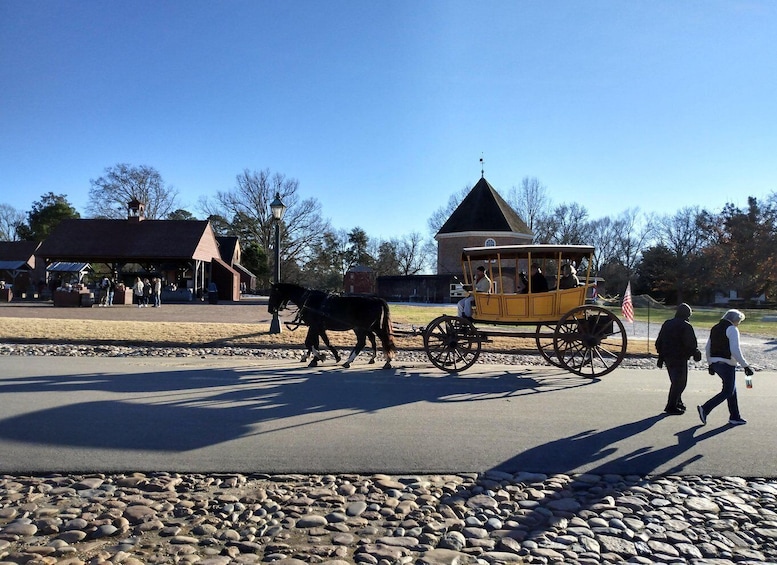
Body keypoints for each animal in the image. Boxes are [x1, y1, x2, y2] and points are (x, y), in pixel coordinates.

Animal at [270, 282, 398, 370]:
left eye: (273, 294)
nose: (271, 309)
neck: (308, 300)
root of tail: (376, 300)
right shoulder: (318, 327)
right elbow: (320, 342)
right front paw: (324, 357)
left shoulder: (314, 326)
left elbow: (310, 342)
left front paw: (320, 357)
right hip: (369, 327)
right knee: (376, 339)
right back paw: (379, 359)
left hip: (361, 327)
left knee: (365, 342)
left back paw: (352, 361)